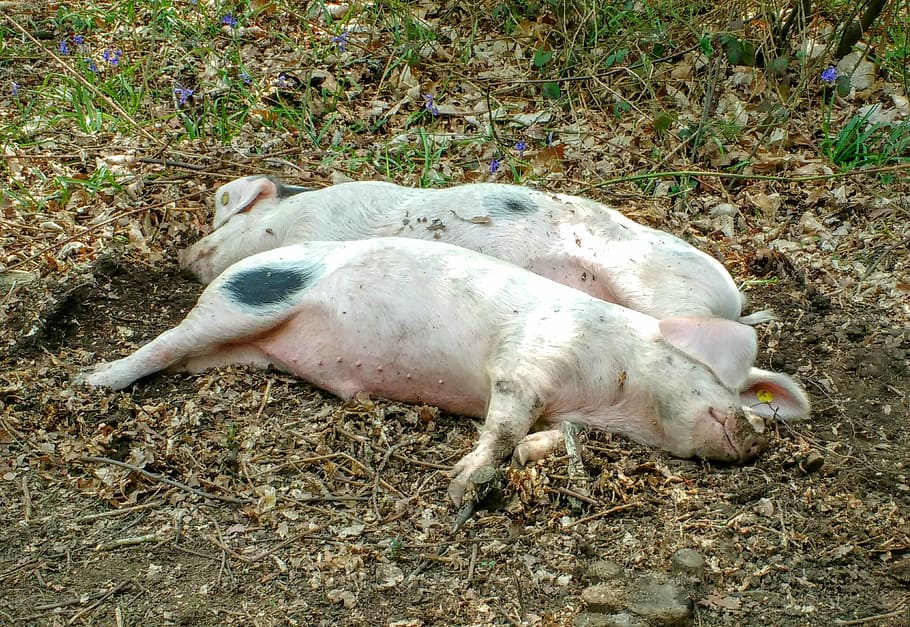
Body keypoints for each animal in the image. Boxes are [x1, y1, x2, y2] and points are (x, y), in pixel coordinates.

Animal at [82, 238, 810, 506]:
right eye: (721, 379)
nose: (760, 433)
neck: (610, 386)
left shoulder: (565, 406)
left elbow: (548, 437)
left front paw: (532, 459)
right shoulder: (527, 358)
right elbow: (505, 420)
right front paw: (461, 484)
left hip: (242, 345)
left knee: (186, 356)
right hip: (240, 303)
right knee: (164, 341)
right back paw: (92, 381)